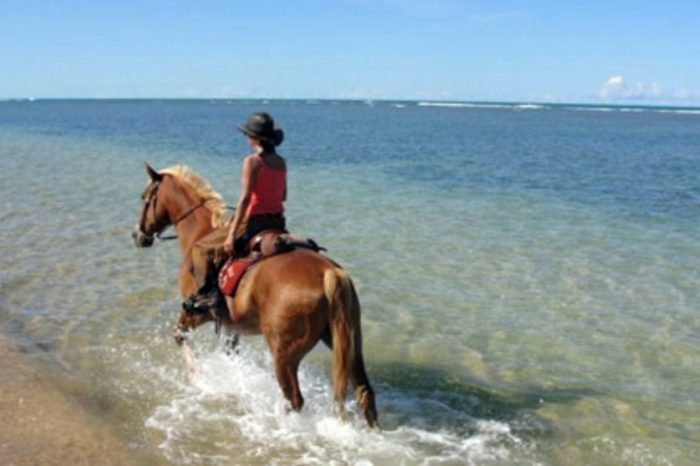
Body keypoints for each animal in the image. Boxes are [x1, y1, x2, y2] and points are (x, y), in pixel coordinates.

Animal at [134, 163, 380, 426]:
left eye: (145, 198)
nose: (137, 235)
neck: (200, 233)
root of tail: (329, 272)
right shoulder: (232, 325)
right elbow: (230, 353)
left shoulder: (195, 313)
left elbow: (179, 336)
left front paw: (197, 375)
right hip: (348, 343)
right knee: (364, 392)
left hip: (284, 354)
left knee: (294, 399)